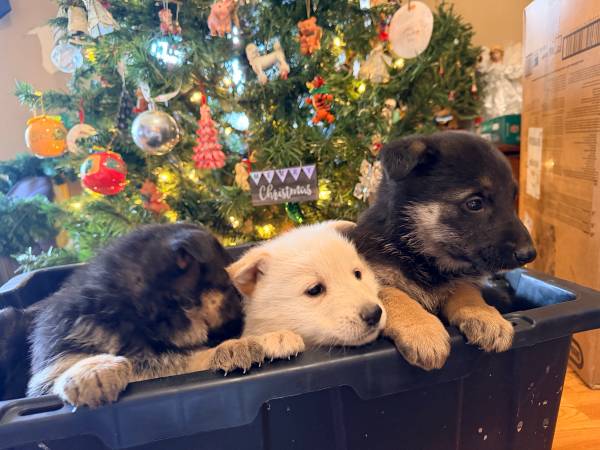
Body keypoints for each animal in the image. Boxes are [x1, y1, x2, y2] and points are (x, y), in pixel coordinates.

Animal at [352, 131, 536, 370]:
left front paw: (485, 315)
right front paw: (422, 330)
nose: (529, 254)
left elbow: (466, 292)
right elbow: (395, 294)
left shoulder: (460, 280)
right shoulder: (374, 279)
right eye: (474, 203)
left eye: (512, 198)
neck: (423, 257)